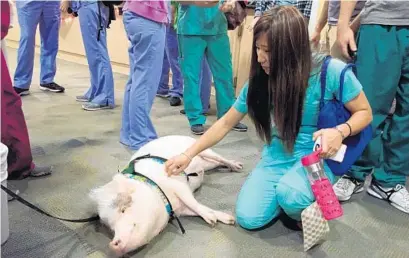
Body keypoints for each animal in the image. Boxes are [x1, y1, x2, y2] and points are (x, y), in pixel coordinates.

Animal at [88, 135, 242, 256]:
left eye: (123, 209)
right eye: (111, 227)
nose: (112, 245)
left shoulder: (177, 184)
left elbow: (192, 202)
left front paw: (214, 220)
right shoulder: (180, 210)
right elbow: (193, 208)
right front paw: (228, 219)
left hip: (203, 148)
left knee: (220, 158)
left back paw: (238, 166)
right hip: (207, 164)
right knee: (215, 163)